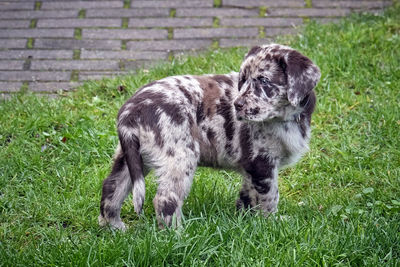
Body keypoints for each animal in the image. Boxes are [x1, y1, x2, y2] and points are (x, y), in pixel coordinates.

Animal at [98, 43, 320, 230]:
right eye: (244, 80)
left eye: (263, 81)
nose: (237, 105)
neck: (285, 117)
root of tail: (130, 111)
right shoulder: (262, 163)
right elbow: (270, 197)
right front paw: (271, 224)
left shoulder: (251, 168)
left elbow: (248, 195)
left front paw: (245, 219)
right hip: (180, 156)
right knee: (165, 199)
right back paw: (178, 236)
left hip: (132, 156)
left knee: (111, 187)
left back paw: (113, 227)